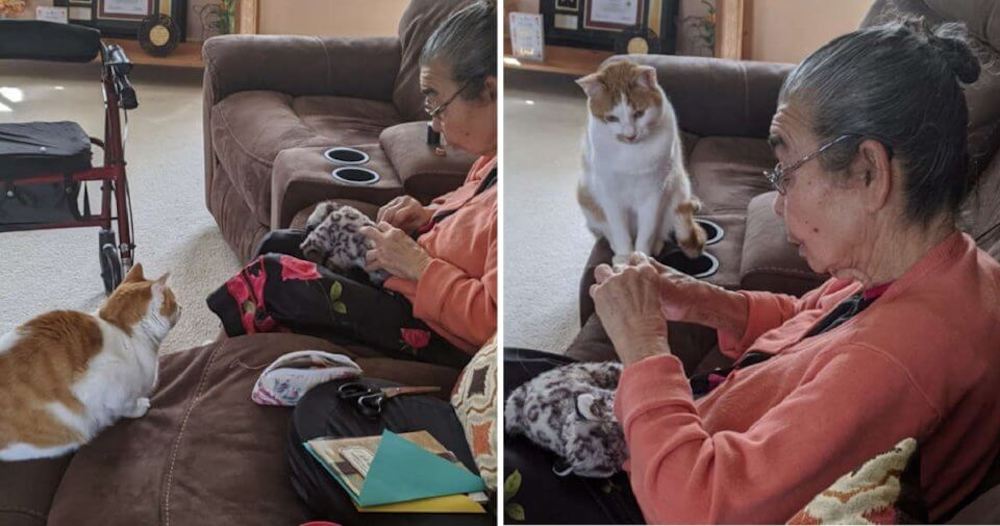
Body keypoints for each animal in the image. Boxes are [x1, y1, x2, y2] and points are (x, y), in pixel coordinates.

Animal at [0, 264, 178, 462]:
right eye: (174, 301)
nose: (181, 306)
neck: (122, 330)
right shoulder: (104, 388)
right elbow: (125, 406)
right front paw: (140, 407)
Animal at [576, 60, 708, 266]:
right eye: (611, 118)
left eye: (639, 113)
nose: (630, 135)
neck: (632, 153)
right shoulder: (610, 194)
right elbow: (619, 231)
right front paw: (625, 257)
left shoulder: (654, 192)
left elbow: (647, 232)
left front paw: (642, 258)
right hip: (585, 196)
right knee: (607, 230)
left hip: (678, 188)